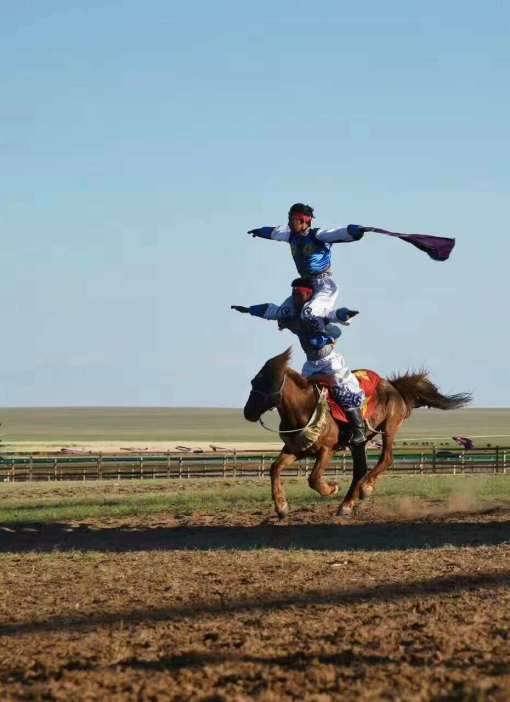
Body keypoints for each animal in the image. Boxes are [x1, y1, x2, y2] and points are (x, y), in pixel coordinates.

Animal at [243, 350, 470, 520]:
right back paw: (346, 505)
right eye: (253, 382)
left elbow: (314, 478)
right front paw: (282, 507)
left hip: (389, 427)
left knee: (386, 459)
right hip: (358, 442)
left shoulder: (327, 450)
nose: (247, 412)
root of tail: (393, 387)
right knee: (360, 469)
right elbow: (275, 468)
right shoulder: (297, 449)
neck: (306, 408)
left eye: (267, 383)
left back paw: (365, 489)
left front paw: (332, 489)